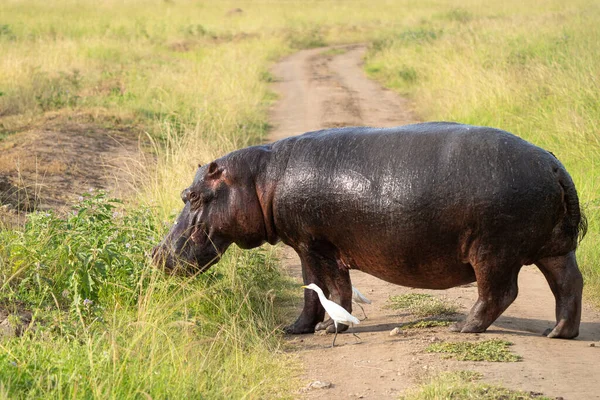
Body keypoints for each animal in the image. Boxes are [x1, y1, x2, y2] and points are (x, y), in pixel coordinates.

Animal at [152, 122, 588, 338]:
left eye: (192, 195)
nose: (156, 253)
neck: (260, 178)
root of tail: (553, 164)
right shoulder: (305, 247)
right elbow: (311, 292)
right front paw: (295, 330)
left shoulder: (320, 245)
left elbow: (336, 290)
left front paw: (330, 327)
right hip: (552, 248)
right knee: (569, 284)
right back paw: (556, 333)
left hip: (493, 251)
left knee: (499, 292)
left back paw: (462, 327)